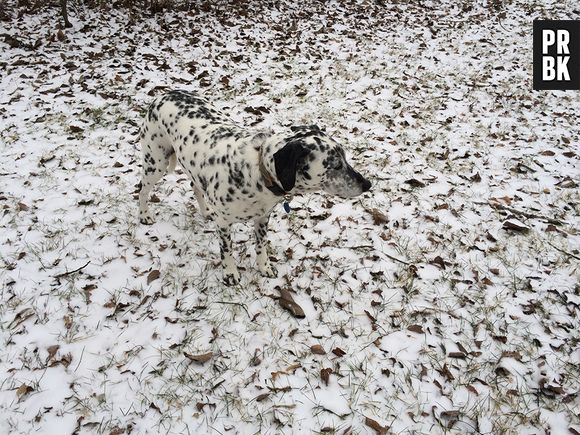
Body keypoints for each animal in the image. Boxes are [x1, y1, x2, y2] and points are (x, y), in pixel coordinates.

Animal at [138, 90, 370, 284]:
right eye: (336, 165)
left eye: (345, 158)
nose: (367, 184)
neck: (257, 171)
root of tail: (162, 94)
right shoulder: (224, 223)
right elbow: (226, 250)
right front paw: (230, 273)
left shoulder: (262, 217)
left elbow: (260, 245)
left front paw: (264, 267)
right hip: (155, 162)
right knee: (142, 189)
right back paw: (144, 215)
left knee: (195, 187)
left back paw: (205, 212)